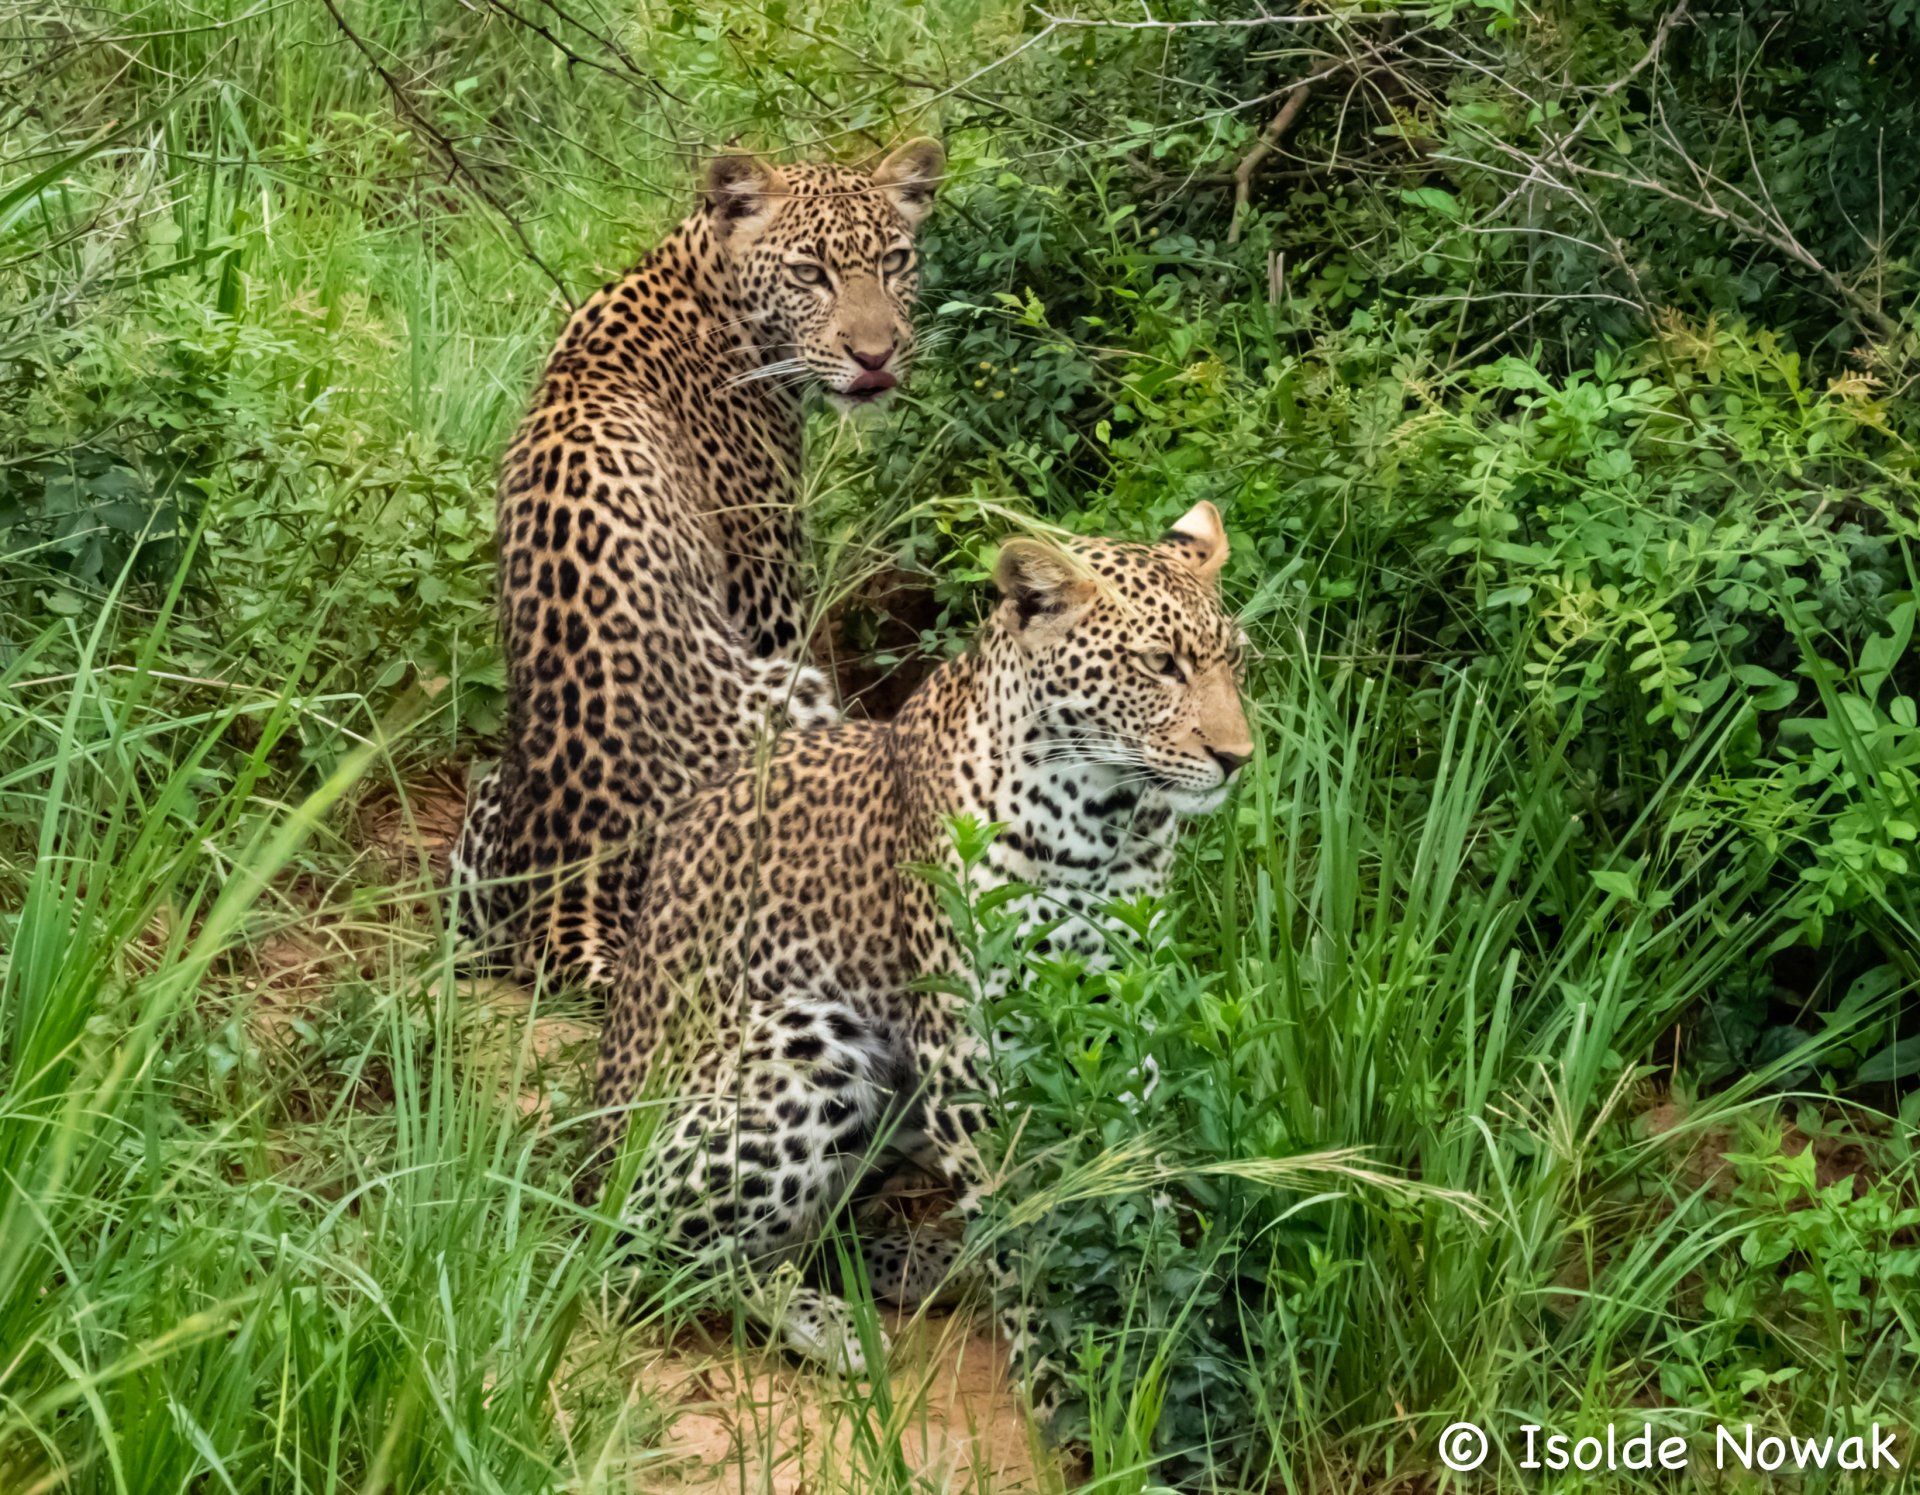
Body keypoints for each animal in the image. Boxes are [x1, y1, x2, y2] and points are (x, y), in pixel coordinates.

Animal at [451, 138, 946, 988]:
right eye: (809, 272)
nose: (876, 357)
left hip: (483, 813)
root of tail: (571, 881)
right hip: (786, 701)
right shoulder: (767, 589)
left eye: (894, 261)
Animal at [585, 501, 1255, 1381]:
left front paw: (1161, 1306)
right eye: (1159, 664)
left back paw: (918, 1264)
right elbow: (1019, 1218)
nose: (1237, 758)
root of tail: (586, 1166)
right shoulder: (971, 1045)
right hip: (802, 1041)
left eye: (1234, 661)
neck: (1104, 821)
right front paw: (1054, 1364)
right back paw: (833, 1325)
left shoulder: (1118, 1003)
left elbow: (1130, 1163)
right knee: (654, 1257)